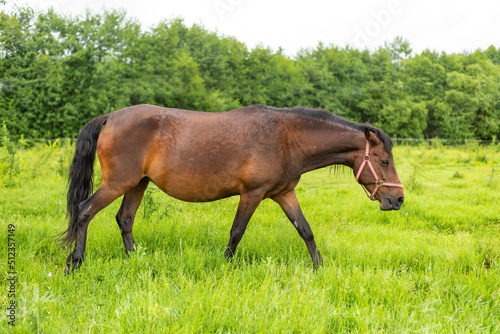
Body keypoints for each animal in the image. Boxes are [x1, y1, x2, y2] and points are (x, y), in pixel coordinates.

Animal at [60, 104, 404, 272]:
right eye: (384, 160)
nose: (398, 199)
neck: (287, 138)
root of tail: (110, 117)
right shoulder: (252, 193)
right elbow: (237, 232)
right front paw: (224, 267)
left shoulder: (284, 194)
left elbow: (305, 230)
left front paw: (320, 268)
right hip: (118, 183)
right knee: (84, 211)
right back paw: (75, 264)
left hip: (137, 184)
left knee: (125, 219)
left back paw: (135, 261)